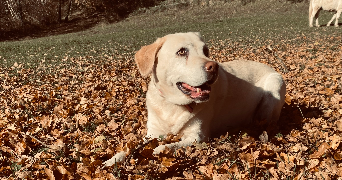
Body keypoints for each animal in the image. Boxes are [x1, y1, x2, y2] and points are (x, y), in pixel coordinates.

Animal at [103, 32, 286, 167]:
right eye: (182, 52)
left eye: (205, 51)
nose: (214, 67)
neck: (173, 105)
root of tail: (269, 66)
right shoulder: (152, 133)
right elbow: (130, 147)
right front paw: (112, 160)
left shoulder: (197, 137)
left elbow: (168, 146)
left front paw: (158, 150)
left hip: (273, 87)